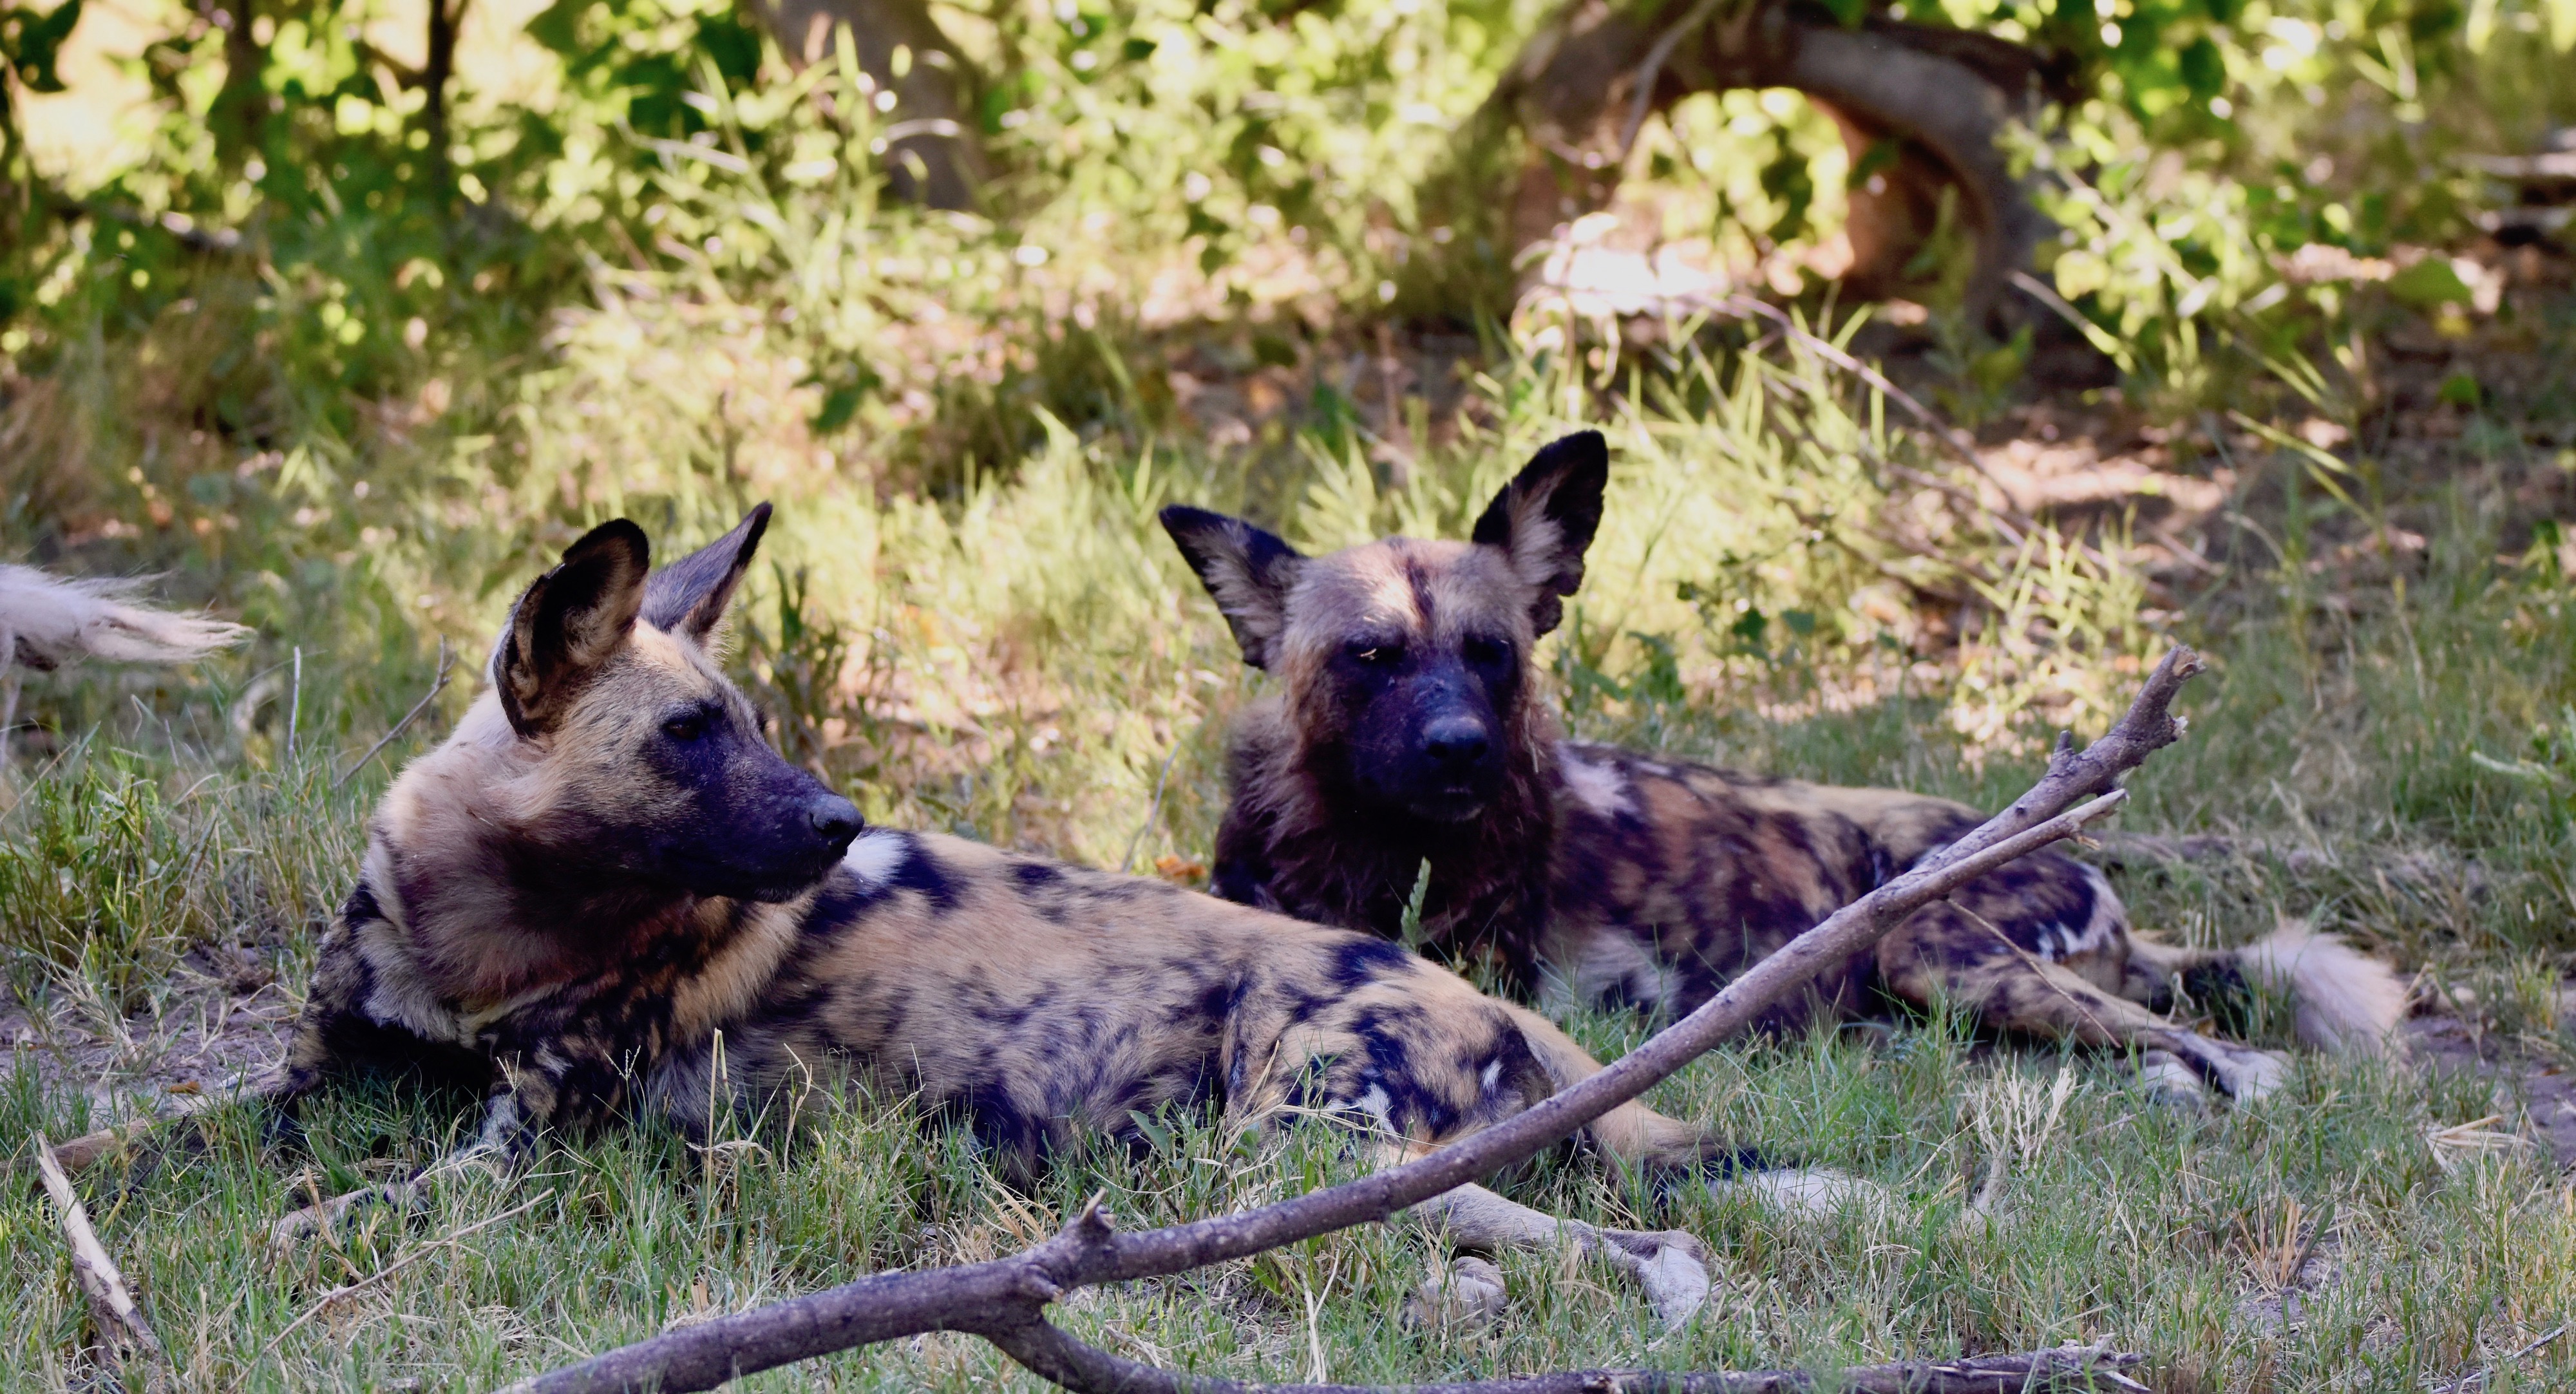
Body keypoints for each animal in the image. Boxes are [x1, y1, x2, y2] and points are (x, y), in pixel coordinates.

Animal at [261, 502, 1865, 1329]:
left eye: (744, 724)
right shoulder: (310, 1079)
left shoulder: (521, 1158)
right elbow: (221, 1146)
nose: (839, 821)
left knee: (1633, 1250)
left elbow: (319, 1219)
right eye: (686, 735)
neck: (479, 934)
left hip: (1290, 1159)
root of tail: (1478, 992)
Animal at [1170, 430, 2411, 1102]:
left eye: (1492, 654)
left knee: (2219, 1054)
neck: (1370, 849)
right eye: (1372, 657)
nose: (1460, 749)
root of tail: (2094, 876)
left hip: (1939, 947)